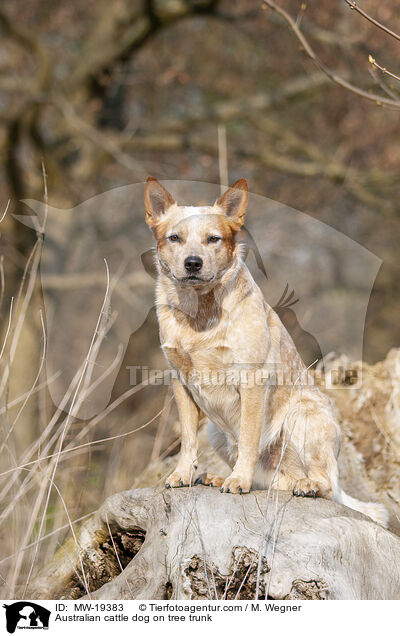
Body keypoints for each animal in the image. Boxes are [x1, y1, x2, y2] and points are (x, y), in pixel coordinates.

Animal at [145, 175, 390, 528]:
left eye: (213, 239)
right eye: (174, 238)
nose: (193, 263)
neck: (199, 315)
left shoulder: (252, 380)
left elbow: (249, 438)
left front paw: (238, 481)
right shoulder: (180, 382)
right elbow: (188, 441)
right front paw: (183, 475)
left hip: (302, 416)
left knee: (325, 483)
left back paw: (306, 485)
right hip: (215, 432)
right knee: (270, 481)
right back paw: (223, 477)